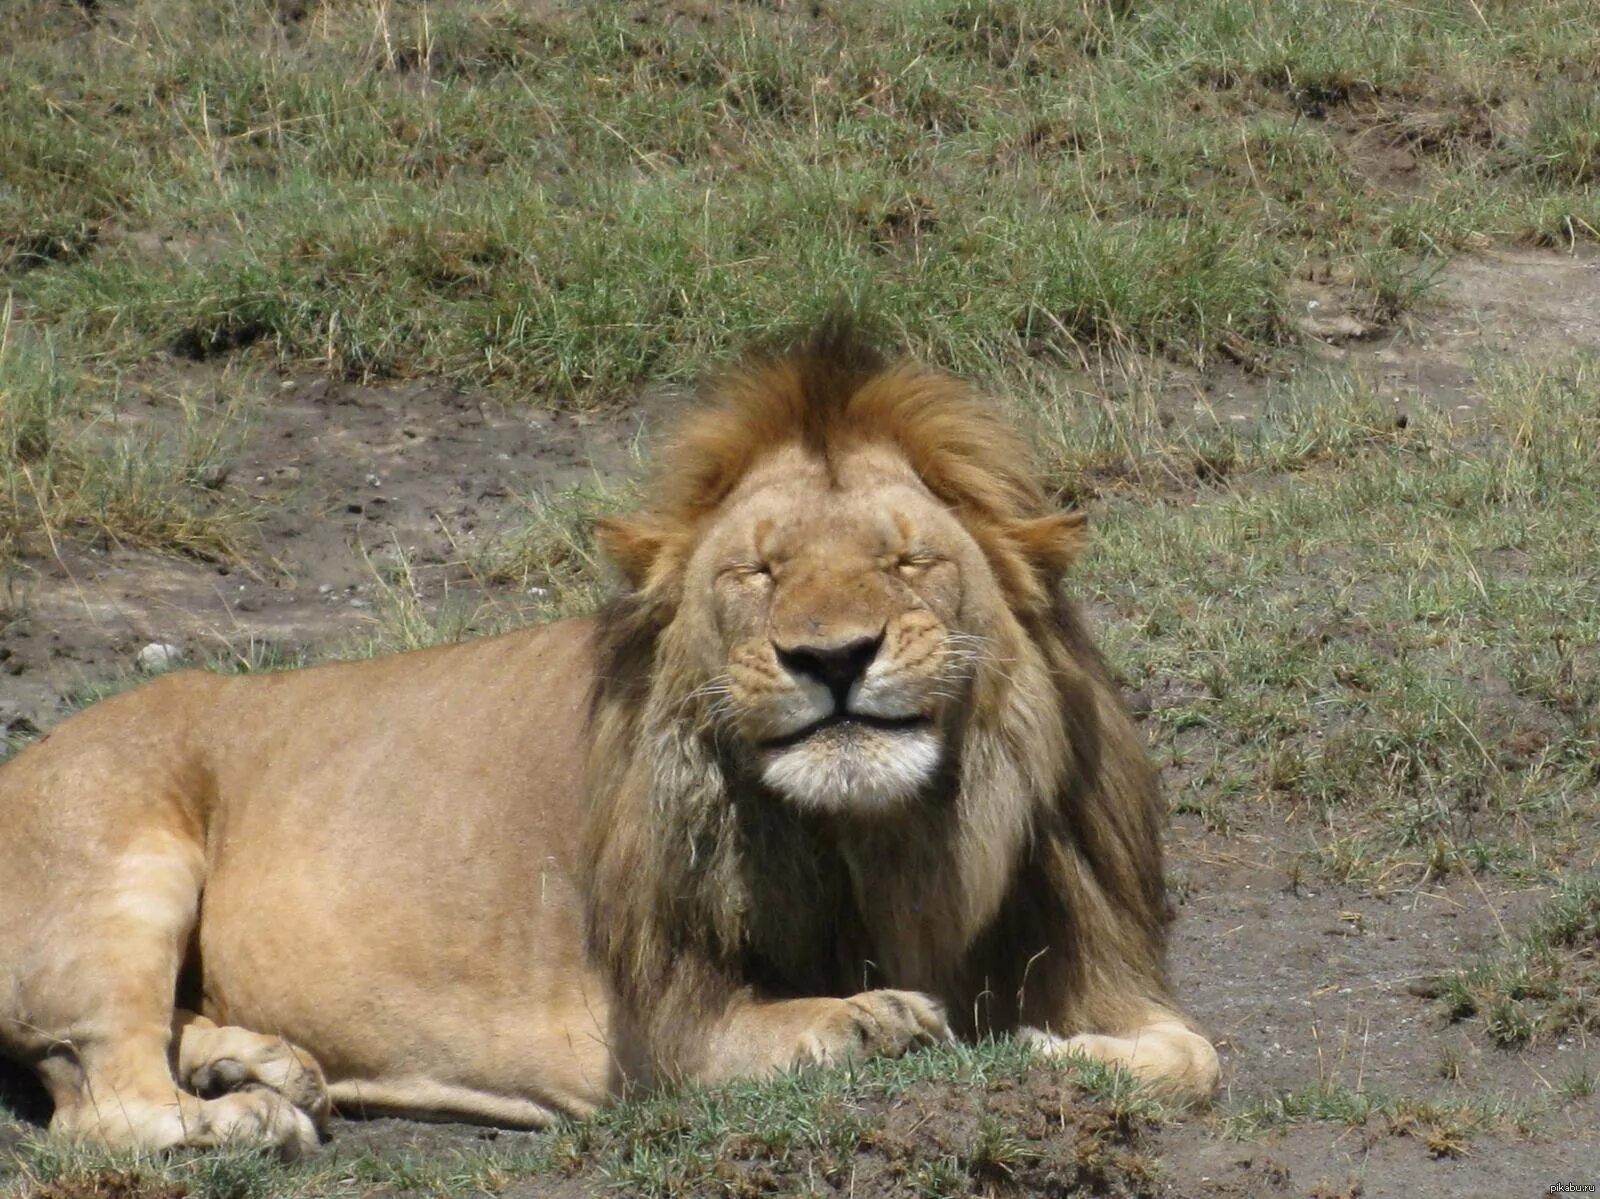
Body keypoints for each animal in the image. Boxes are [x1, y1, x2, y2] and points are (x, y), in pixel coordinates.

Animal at [0, 323, 1209, 1152]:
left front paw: (1056, 1049)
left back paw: (264, 1063)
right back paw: (241, 1116)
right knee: (98, 1100)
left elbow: (1196, 1056)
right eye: (756, 570)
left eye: (909, 560)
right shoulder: (658, 1033)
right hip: (121, 867)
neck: (894, 839)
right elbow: (792, 1030)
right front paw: (878, 1020)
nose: (831, 657)